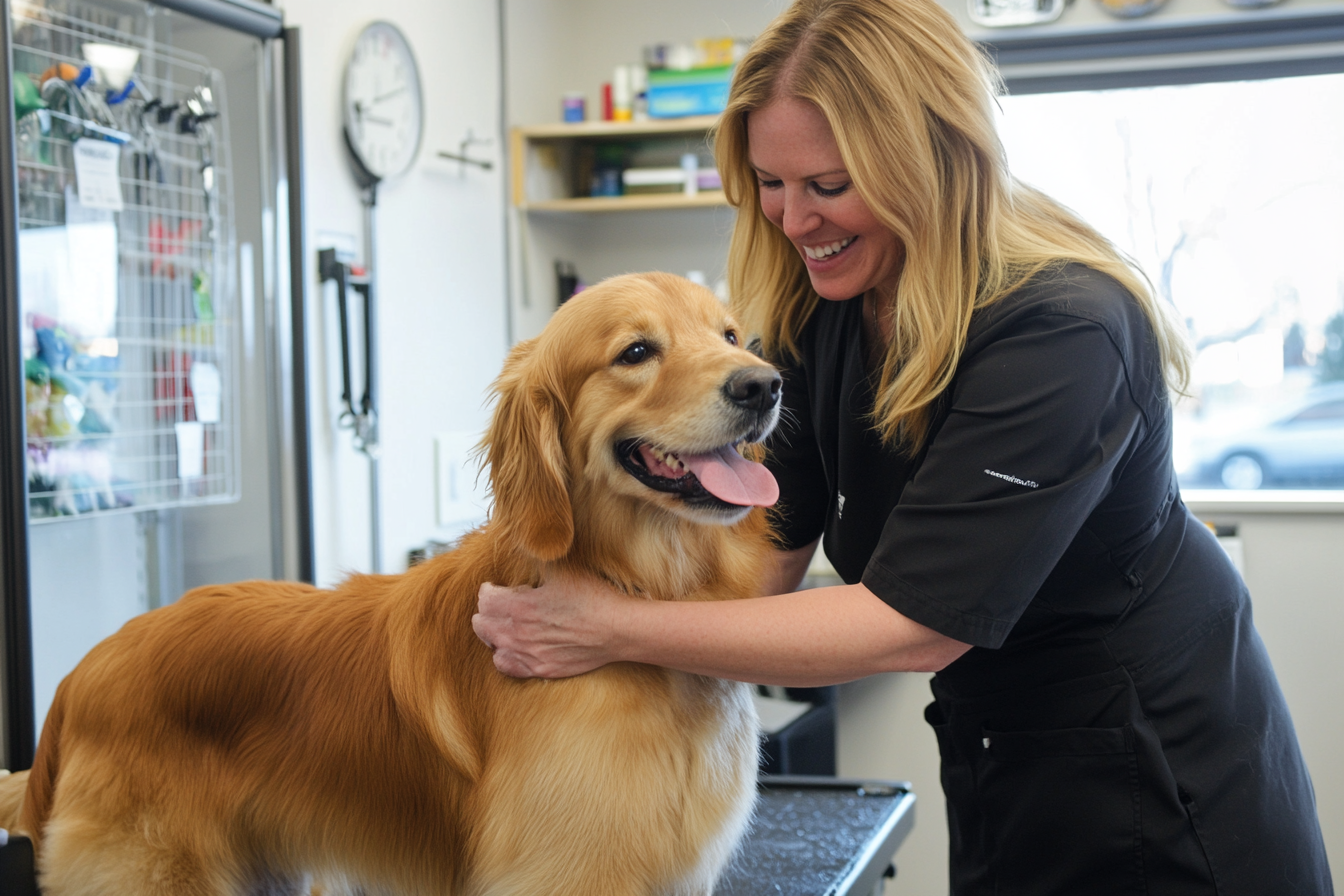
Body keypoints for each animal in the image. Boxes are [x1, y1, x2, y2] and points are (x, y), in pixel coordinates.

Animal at [0, 274, 784, 896]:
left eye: (731, 335)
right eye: (637, 352)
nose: (764, 383)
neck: (642, 586)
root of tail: (81, 675)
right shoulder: (565, 873)